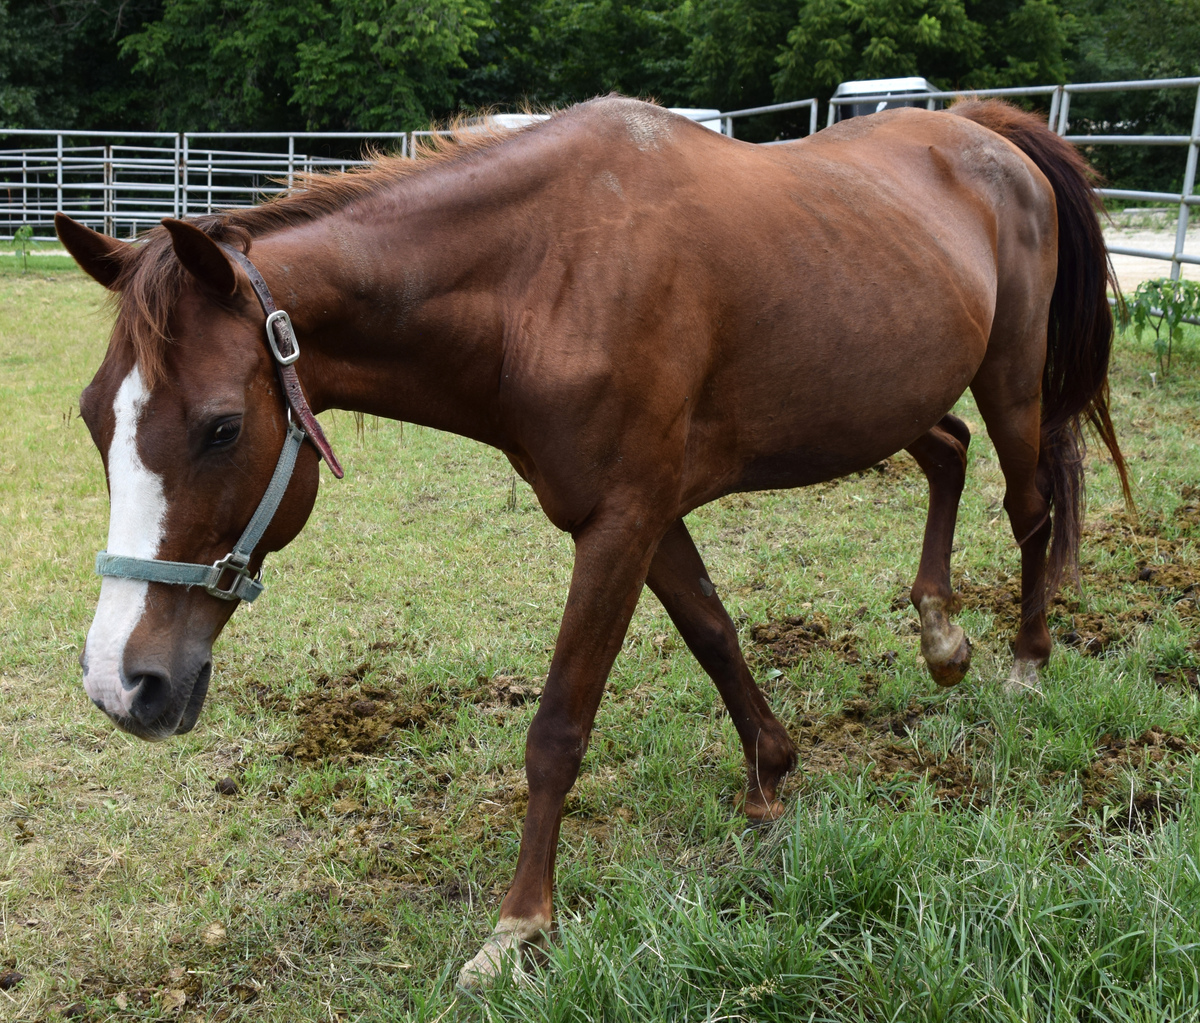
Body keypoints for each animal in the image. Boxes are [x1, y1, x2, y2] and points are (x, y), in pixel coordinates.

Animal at [57, 96, 1128, 987]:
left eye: (221, 427)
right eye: (92, 420)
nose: (122, 683)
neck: (546, 275)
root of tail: (987, 133)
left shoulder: (620, 520)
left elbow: (558, 727)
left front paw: (520, 924)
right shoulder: (640, 514)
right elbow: (712, 631)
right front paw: (770, 775)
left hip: (1012, 381)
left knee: (1030, 510)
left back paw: (1026, 661)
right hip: (894, 398)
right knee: (947, 454)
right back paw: (941, 635)